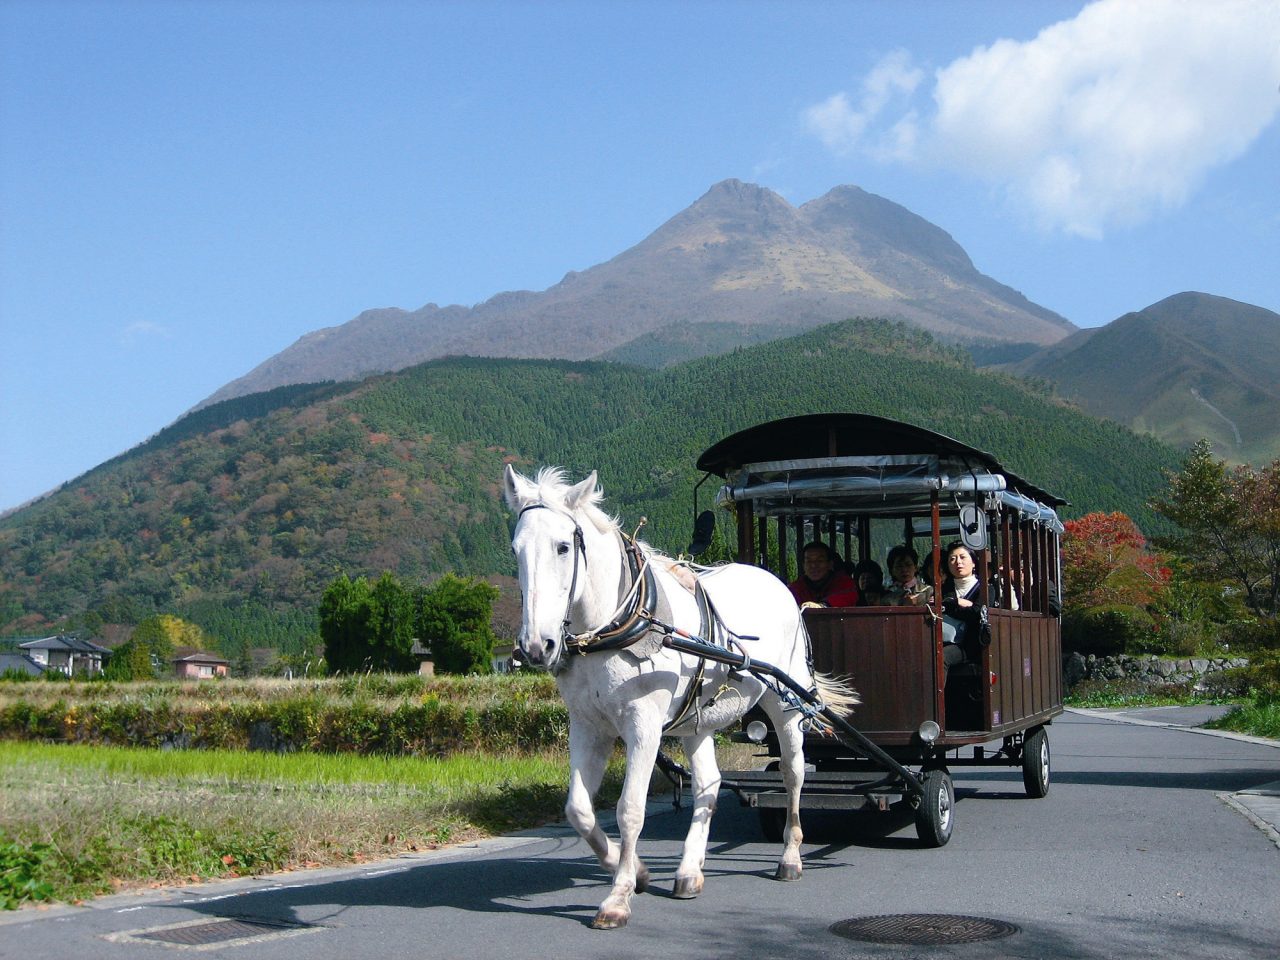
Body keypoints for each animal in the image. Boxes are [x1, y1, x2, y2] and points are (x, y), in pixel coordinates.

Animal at [504, 465, 855, 931]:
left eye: (563, 547)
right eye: (516, 550)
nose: (534, 646)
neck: (614, 623)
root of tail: (774, 580)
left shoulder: (643, 726)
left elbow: (630, 809)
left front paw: (617, 896)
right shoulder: (588, 725)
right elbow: (578, 809)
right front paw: (635, 871)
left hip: (785, 702)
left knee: (794, 774)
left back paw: (791, 855)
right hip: (697, 719)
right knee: (708, 784)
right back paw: (689, 871)